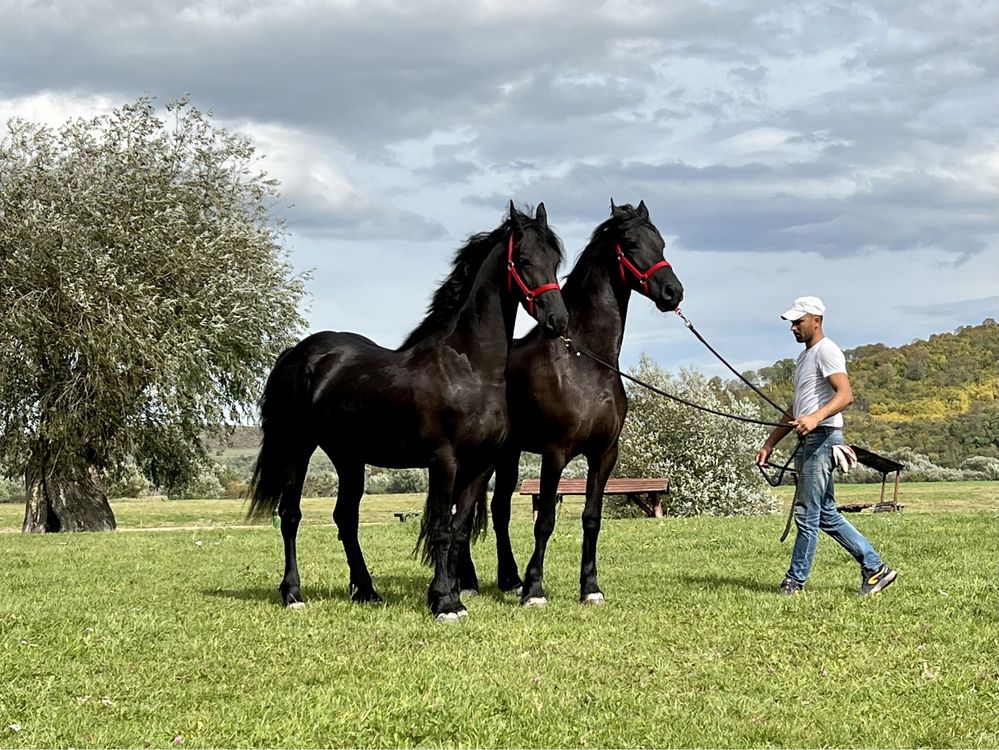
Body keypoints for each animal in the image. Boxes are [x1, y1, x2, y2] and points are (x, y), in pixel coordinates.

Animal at [250, 203, 572, 620]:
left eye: (555, 259)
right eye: (523, 259)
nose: (557, 321)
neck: (468, 366)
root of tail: (298, 353)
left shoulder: (480, 465)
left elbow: (459, 529)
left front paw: (449, 594)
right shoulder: (445, 462)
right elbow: (440, 528)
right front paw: (445, 602)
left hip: (348, 457)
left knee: (345, 519)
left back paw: (366, 590)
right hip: (297, 447)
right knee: (290, 517)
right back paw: (293, 594)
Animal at [458, 203, 684, 608]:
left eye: (660, 243)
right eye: (630, 244)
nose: (673, 291)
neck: (584, 362)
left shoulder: (604, 454)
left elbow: (592, 518)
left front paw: (590, 587)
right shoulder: (555, 452)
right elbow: (545, 519)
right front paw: (534, 590)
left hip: (508, 454)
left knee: (498, 510)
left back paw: (508, 579)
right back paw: (468, 581)